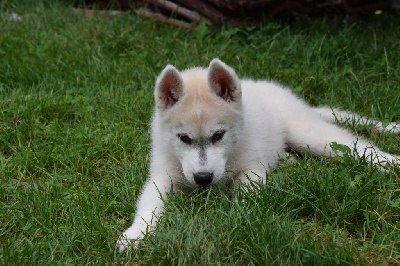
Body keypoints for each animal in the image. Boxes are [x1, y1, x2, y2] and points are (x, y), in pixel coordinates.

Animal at [117, 58, 398, 251]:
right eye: (183, 139)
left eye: (218, 135)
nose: (203, 178)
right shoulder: (162, 176)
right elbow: (150, 204)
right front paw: (137, 234)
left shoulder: (251, 168)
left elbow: (246, 196)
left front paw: (235, 221)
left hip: (311, 136)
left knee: (358, 147)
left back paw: (391, 163)